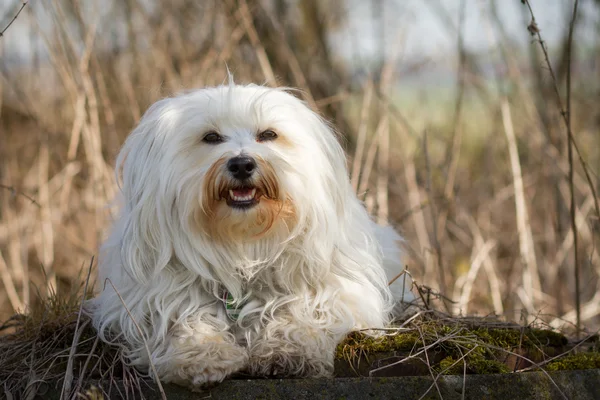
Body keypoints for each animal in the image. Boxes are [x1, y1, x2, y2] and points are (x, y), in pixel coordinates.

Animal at [90, 81, 412, 388]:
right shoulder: (153, 297)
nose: (242, 164)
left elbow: (306, 311)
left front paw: (287, 350)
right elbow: (181, 318)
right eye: (211, 137)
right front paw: (202, 352)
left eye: (268, 134)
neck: (244, 244)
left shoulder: (337, 290)